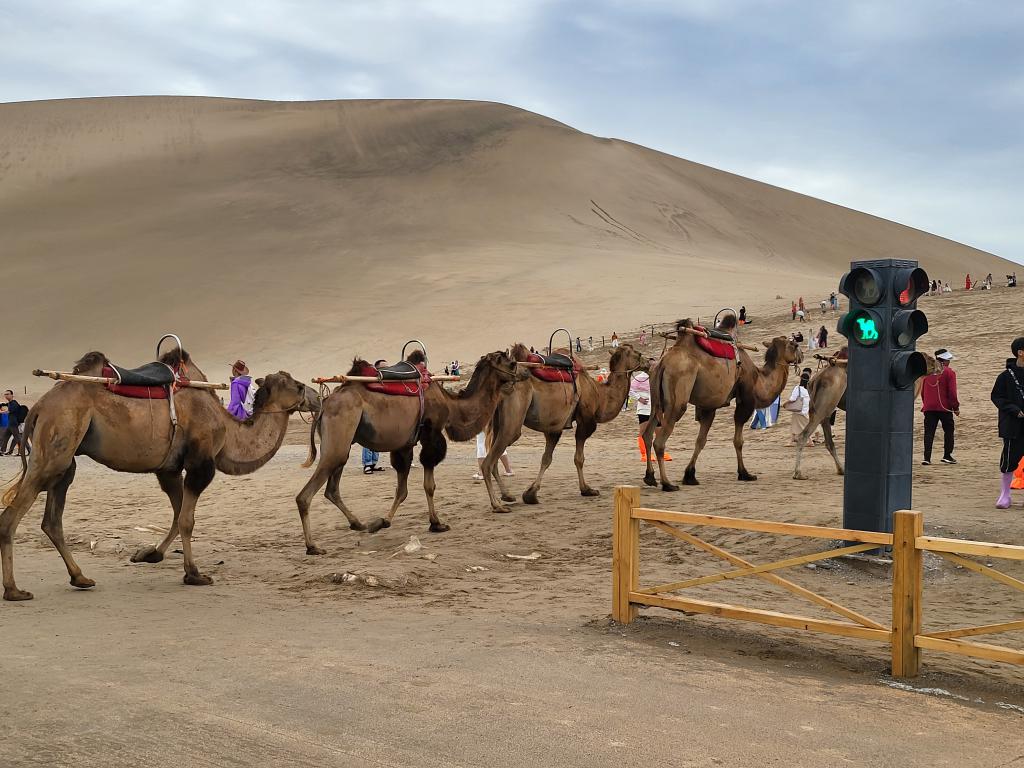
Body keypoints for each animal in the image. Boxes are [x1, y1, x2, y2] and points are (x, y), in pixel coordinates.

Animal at [0, 350, 313, 602]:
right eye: (297, 386)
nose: (315, 396)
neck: (227, 430)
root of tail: (39, 405)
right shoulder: (200, 463)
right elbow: (187, 519)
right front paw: (194, 574)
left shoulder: (169, 469)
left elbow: (177, 515)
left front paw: (149, 554)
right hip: (56, 444)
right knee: (11, 516)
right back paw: (14, 590)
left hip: (65, 460)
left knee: (52, 520)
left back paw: (80, 578)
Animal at [294, 348, 520, 552]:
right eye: (511, 363)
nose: (520, 376)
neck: (450, 405)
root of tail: (324, 404)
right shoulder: (431, 433)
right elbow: (429, 485)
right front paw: (437, 523)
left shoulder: (405, 444)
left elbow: (402, 490)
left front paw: (382, 522)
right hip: (338, 437)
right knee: (305, 496)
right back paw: (313, 546)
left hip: (343, 445)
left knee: (332, 489)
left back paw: (358, 524)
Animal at [477, 346, 643, 514]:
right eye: (639, 354)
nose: (648, 360)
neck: (599, 395)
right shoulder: (585, 422)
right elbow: (579, 458)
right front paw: (587, 489)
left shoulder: (553, 427)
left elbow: (546, 459)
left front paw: (531, 494)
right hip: (513, 422)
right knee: (489, 460)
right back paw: (497, 505)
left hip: (497, 421)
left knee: (495, 456)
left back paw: (507, 496)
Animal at [643, 319, 802, 493]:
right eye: (795, 344)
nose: (801, 356)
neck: (758, 378)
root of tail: (663, 363)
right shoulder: (745, 401)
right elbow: (738, 440)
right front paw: (745, 473)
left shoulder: (709, 406)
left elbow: (701, 440)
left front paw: (690, 476)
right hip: (677, 396)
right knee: (660, 441)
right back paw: (667, 484)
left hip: (656, 399)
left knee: (647, 434)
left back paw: (650, 477)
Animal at [790, 350, 937, 481]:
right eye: (930, 359)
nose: (940, 366)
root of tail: (816, 380)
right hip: (824, 405)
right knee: (804, 435)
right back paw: (798, 473)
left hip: (823, 408)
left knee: (829, 442)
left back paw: (841, 470)